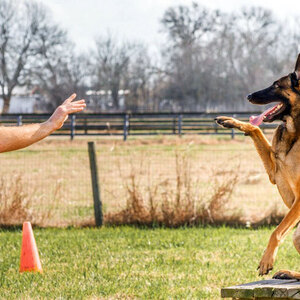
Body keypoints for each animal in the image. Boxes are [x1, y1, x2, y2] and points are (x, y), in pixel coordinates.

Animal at [216, 54, 300, 278]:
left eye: (276, 85)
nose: (248, 95)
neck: (295, 132)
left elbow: (277, 231)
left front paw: (266, 259)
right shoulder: (274, 174)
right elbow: (256, 128)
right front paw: (230, 121)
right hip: (298, 234)